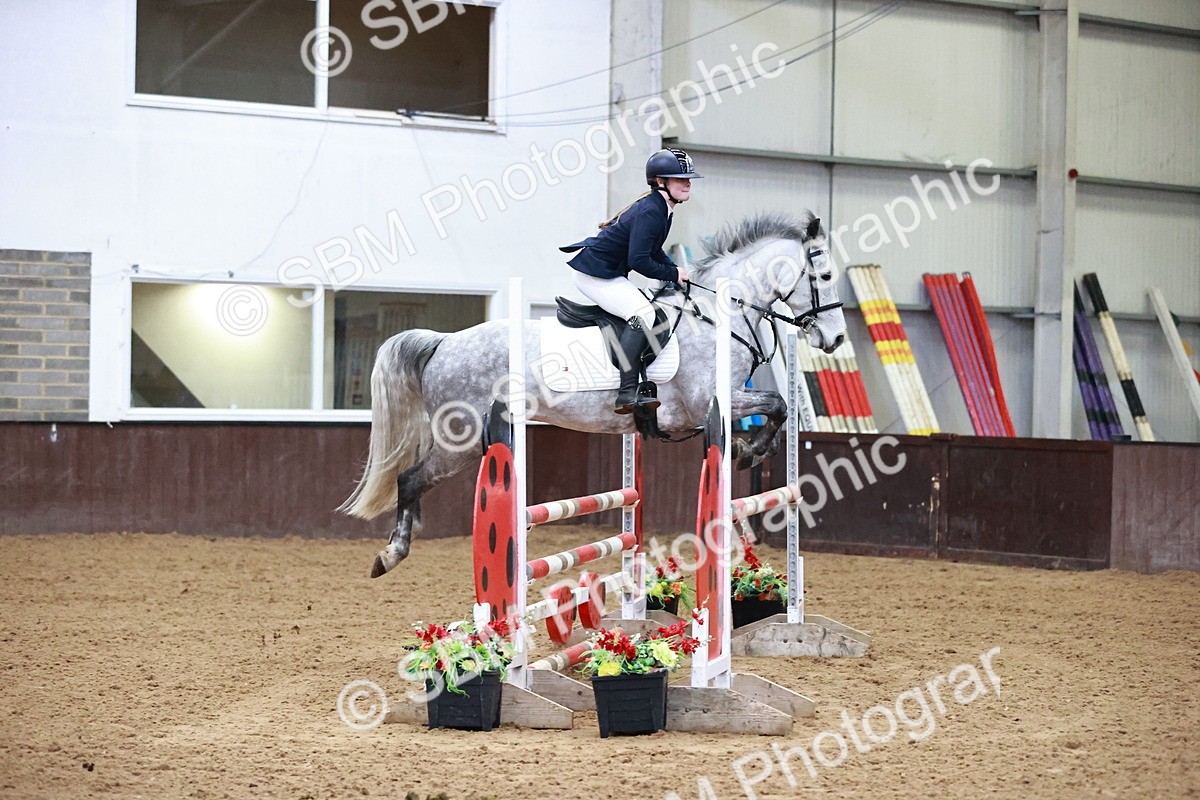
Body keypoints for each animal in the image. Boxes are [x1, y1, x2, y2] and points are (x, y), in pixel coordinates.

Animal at [341, 210, 847, 577]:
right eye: (823, 277)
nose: (836, 339)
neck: (719, 314)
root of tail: (444, 342)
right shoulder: (708, 403)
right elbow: (778, 405)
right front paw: (746, 450)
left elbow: (778, 412)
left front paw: (747, 451)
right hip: (460, 440)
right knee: (410, 479)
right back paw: (390, 555)